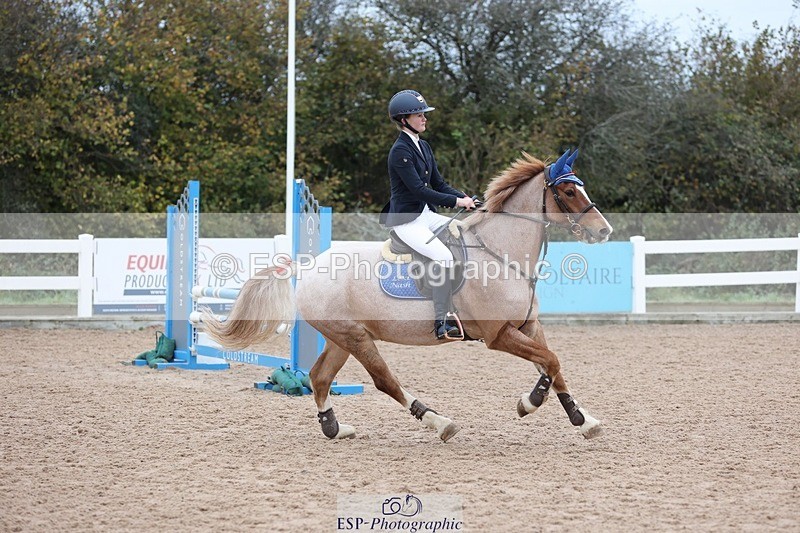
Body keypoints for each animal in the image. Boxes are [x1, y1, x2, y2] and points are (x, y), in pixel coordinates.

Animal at [202, 149, 613, 442]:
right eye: (568, 191)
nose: (604, 230)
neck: (500, 253)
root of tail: (307, 266)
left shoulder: (528, 325)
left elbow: (553, 366)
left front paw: (583, 420)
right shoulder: (498, 336)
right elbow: (551, 361)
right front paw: (530, 403)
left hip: (342, 336)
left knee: (319, 377)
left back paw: (334, 428)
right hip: (356, 337)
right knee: (384, 380)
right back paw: (438, 422)